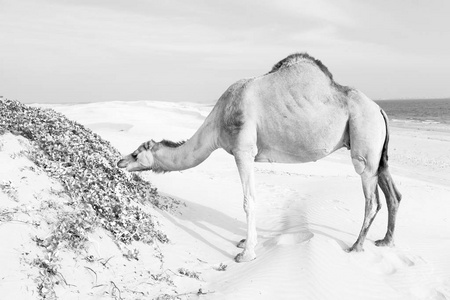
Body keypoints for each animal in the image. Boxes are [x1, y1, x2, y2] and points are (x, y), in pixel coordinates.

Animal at [116, 53, 400, 262]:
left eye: (136, 153)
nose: (120, 161)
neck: (218, 121)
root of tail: (380, 109)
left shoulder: (243, 150)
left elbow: (248, 201)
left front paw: (246, 253)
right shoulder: (250, 155)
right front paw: (245, 241)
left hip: (364, 142)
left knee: (372, 199)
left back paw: (356, 246)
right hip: (379, 152)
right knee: (392, 193)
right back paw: (385, 240)